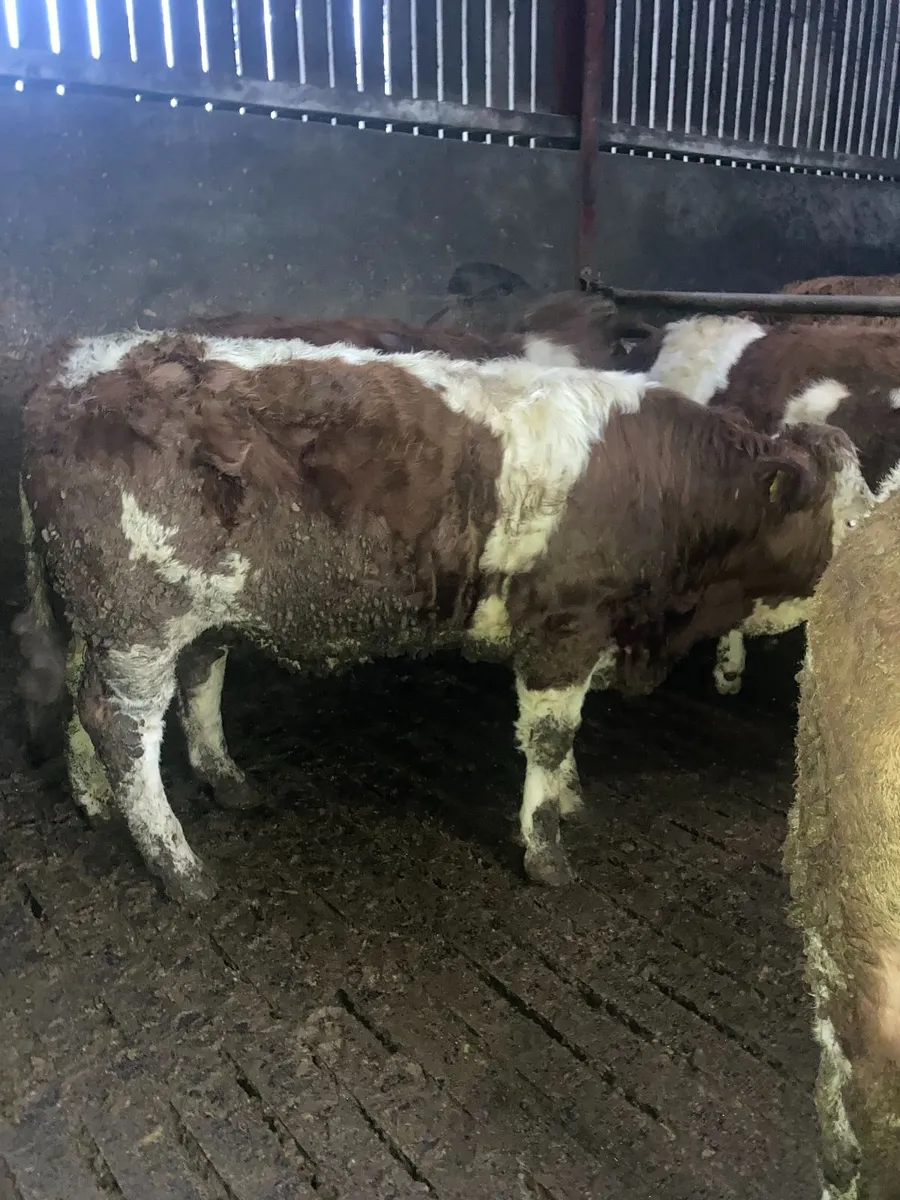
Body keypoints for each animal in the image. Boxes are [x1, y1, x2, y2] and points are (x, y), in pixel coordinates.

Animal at [14, 329, 871, 903]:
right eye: (846, 515)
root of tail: (78, 365)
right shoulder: (564, 627)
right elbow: (551, 737)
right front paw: (545, 848)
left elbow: (565, 741)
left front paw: (568, 799)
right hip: (140, 617)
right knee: (121, 724)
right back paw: (177, 864)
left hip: (149, 611)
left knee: (137, 691)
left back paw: (138, 794)